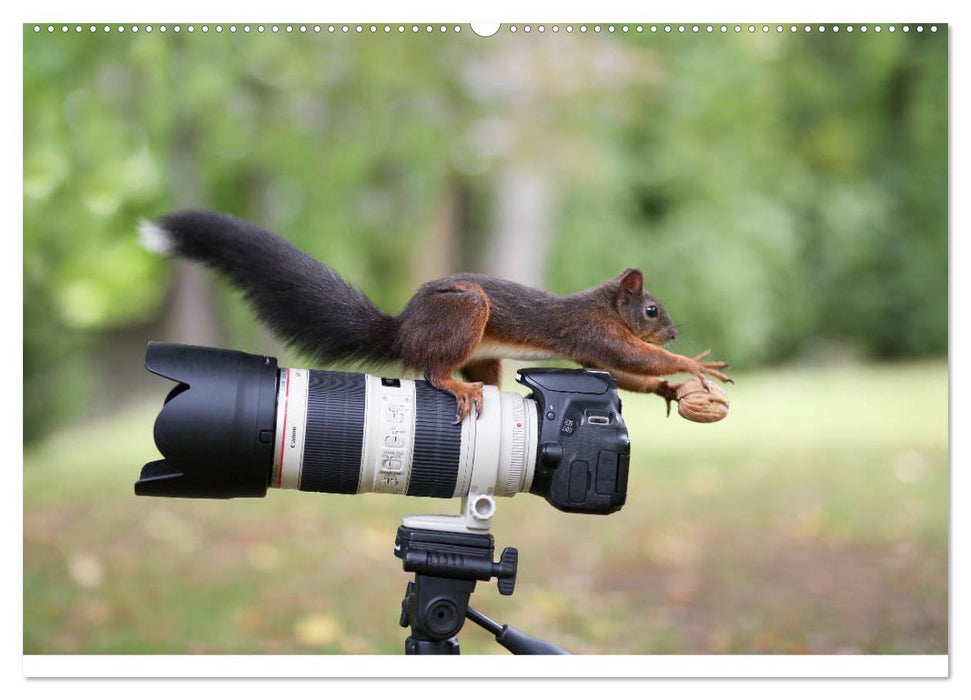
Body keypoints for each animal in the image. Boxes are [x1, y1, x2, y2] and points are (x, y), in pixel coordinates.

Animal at [137, 209, 728, 422]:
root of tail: (403, 328)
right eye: (651, 309)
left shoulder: (591, 350)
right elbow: (630, 355)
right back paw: (455, 387)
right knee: (429, 370)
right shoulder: (590, 333)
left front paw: (671, 387)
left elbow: (627, 373)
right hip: (464, 311)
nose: (675, 330)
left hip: (482, 353)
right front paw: (693, 365)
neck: (603, 304)